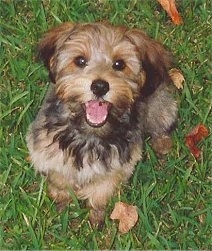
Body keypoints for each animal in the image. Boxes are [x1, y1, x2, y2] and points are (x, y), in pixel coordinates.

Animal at [26, 22, 179, 227]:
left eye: (119, 64)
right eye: (80, 61)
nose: (99, 86)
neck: (89, 134)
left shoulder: (117, 167)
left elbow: (100, 192)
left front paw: (95, 216)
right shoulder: (47, 151)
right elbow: (60, 179)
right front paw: (62, 202)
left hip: (159, 105)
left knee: (162, 121)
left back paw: (162, 143)